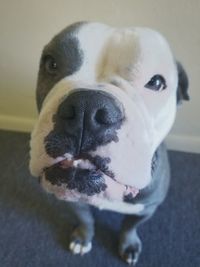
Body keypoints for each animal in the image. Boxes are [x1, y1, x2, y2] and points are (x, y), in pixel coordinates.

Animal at [28, 21, 188, 266]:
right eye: (51, 63)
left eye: (156, 82)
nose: (86, 107)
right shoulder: (71, 198)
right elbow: (85, 219)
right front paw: (83, 238)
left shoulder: (146, 209)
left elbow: (129, 227)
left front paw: (129, 245)